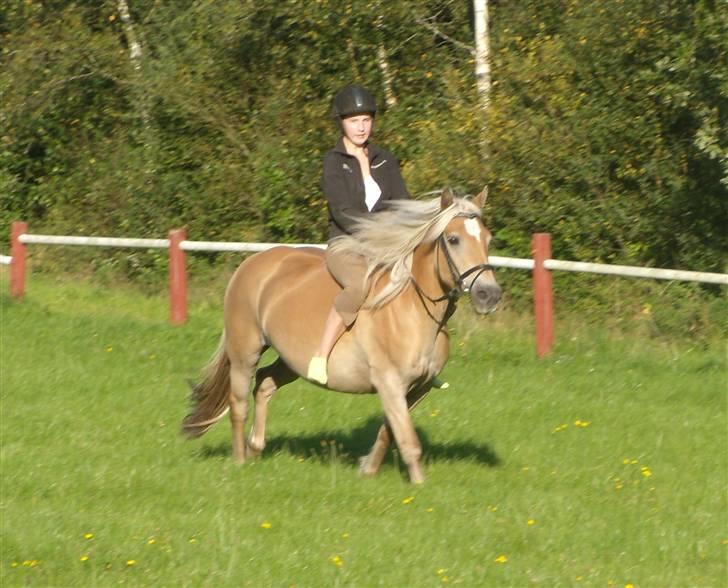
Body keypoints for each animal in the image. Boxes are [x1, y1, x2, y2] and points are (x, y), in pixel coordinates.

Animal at [181, 187, 500, 482]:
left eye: (487, 239)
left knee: (264, 383)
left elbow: (390, 431)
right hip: (244, 352)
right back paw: (239, 461)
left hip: (291, 361)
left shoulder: (415, 389)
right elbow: (409, 442)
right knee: (239, 404)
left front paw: (368, 469)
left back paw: (255, 449)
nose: (489, 295)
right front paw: (419, 486)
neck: (412, 309)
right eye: (453, 239)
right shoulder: (390, 383)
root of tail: (251, 263)